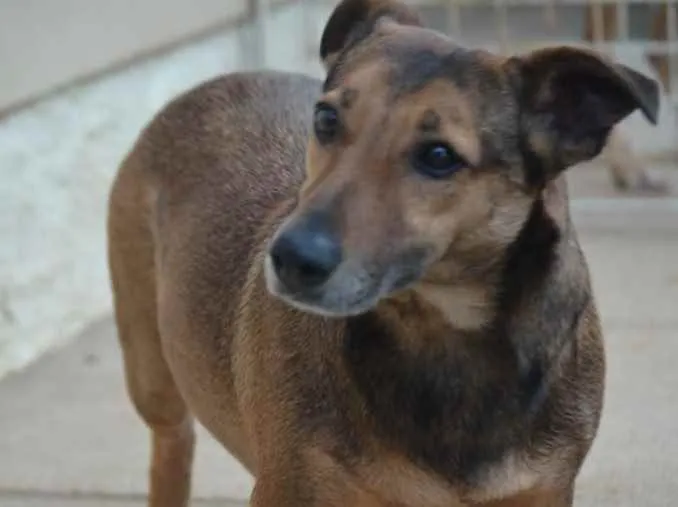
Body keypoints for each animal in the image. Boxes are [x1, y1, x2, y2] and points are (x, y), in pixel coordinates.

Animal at [109, 1, 660, 506]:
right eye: (326, 118)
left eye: (439, 156)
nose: (289, 259)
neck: (443, 340)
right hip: (154, 379)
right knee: (171, 446)